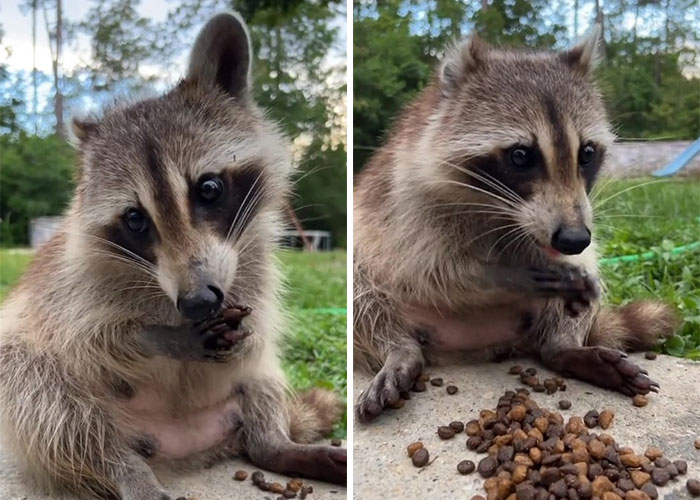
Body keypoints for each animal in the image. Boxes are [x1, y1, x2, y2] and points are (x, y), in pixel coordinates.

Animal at [0, 13, 345, 499]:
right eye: (134, 219)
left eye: (209, 189)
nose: (197, 301)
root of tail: (186, 447)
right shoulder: (66, 289)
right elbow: (91, 340)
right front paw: (160, 337)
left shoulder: (254, 264)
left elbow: (260, 329)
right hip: (50, 393)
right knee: (53, 405)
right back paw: (128, 470)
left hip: (247, 395)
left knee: (261, 388)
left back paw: (278, 446)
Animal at [353, 28, 678, 422]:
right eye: (521, 156)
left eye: (587, 153)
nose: (574, 239)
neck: (503, 211)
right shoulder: (403, 201)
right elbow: (432, 271)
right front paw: (508, 275)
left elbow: (585, 264)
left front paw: (569, 270)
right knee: (363, 293)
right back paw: (399, 349)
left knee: (553, 338)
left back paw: (563, 345)